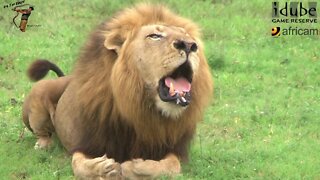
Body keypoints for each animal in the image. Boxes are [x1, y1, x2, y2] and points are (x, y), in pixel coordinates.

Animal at [23, 3, 212, 179]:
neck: (142, 108)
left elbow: (171, 166)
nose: (189, 45)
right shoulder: (86, 143)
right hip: (39, 94)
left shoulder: (173, 149)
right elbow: (79, 165)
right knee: (42, 132)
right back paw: (43, 145)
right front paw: (103, 168)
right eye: (155, 36)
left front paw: (136, 167)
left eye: (189, 37)